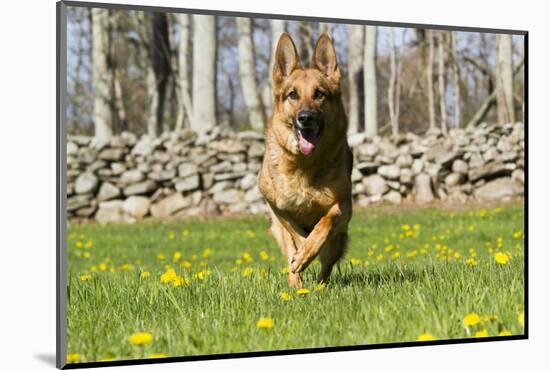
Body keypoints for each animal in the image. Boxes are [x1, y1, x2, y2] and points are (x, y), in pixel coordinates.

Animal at [260, 33, 354, 288]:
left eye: (319, 94)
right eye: (293, 94)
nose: (306, 118)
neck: (303, 165)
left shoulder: (343, 204)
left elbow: (325, 223)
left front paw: (308, 250)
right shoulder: (276, 206)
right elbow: (294, 233)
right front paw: (302, 252)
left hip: (338, 241)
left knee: (326, 265)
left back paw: (319, 284)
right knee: (291, 254)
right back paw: (297, 285)